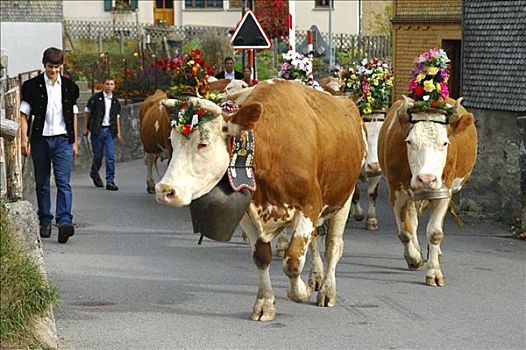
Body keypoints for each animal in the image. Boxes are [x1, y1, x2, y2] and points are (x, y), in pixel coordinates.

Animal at [156, 78, 368, 320]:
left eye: (203, 144)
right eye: (173, 142)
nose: (164, 190)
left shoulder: (309, 205)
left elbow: (293, 260)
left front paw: (302, 292)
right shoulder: (248, 214)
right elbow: (261, 257)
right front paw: (265, 303)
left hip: (344, 197)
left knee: (333, 246)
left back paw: (326, 290)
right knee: (314, 240)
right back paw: (315, 276)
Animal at [380, 96, 478, 288]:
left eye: (445, 143)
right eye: (409, 141)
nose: (426, 179)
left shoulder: (443, 190)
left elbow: (435, 232)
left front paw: (434, 272)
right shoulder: (395, 190)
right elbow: (405, 231)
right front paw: (413, 258)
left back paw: (436, 254)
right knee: (412, 221)